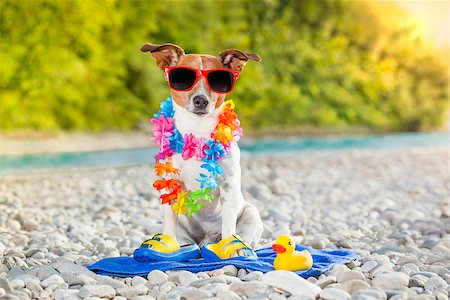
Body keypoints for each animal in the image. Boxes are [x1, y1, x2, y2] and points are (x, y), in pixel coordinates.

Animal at [142, 42, 264, 255]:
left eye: (218, 80)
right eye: (182, 78)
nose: (201, 100)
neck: (197, 133)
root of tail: (203, 239)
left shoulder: (228, 185)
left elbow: (229, 223)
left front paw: (230, 246)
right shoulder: (168, 186)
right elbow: (169, 224)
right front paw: (167, 248)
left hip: (252, 214)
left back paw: (239, 247)